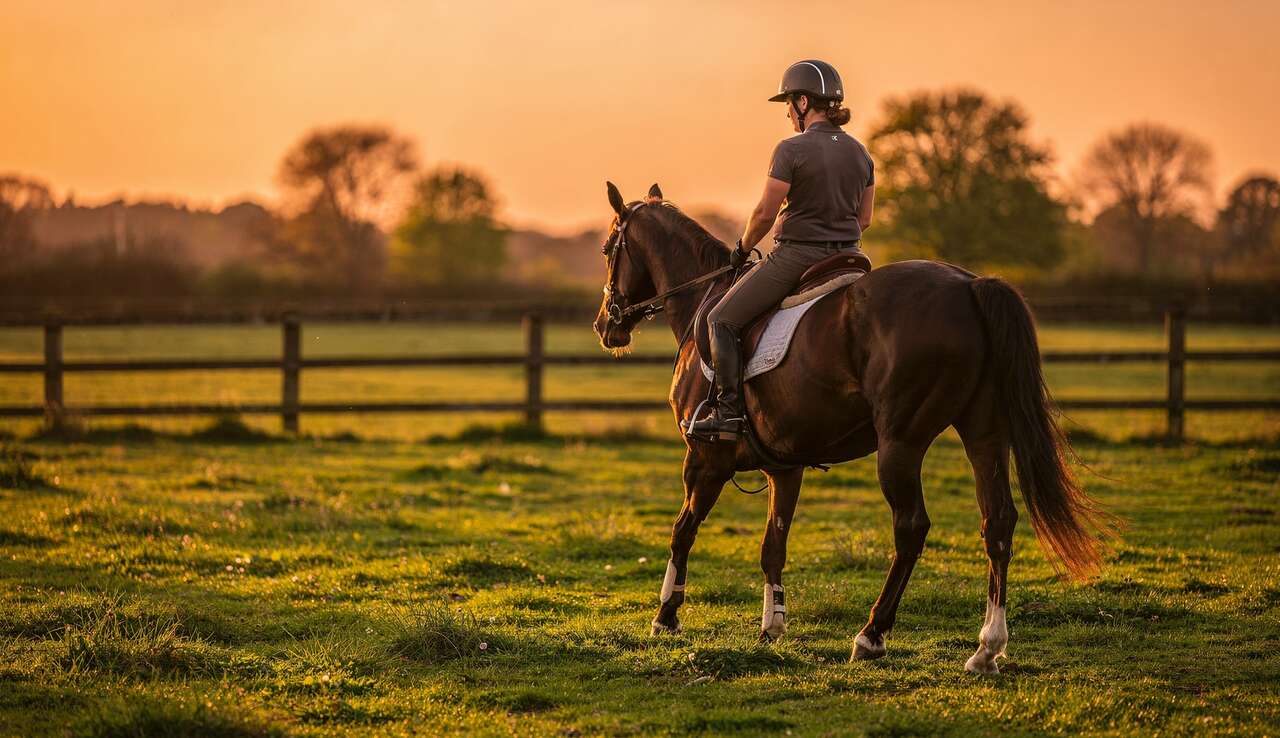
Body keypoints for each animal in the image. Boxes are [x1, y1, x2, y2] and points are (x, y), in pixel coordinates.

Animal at [591, 182, 1109, 674]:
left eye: (608, 248)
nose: (605, 325)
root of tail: (969, 285)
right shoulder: (785, 468)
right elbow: (772, 546)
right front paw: (772, 626)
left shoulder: (704, 459)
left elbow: (683, 530)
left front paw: (666, 617)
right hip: (984, 435)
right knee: (997, 521)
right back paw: (987, 649)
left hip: (901, 443)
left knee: (911, 528)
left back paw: (872, 635)